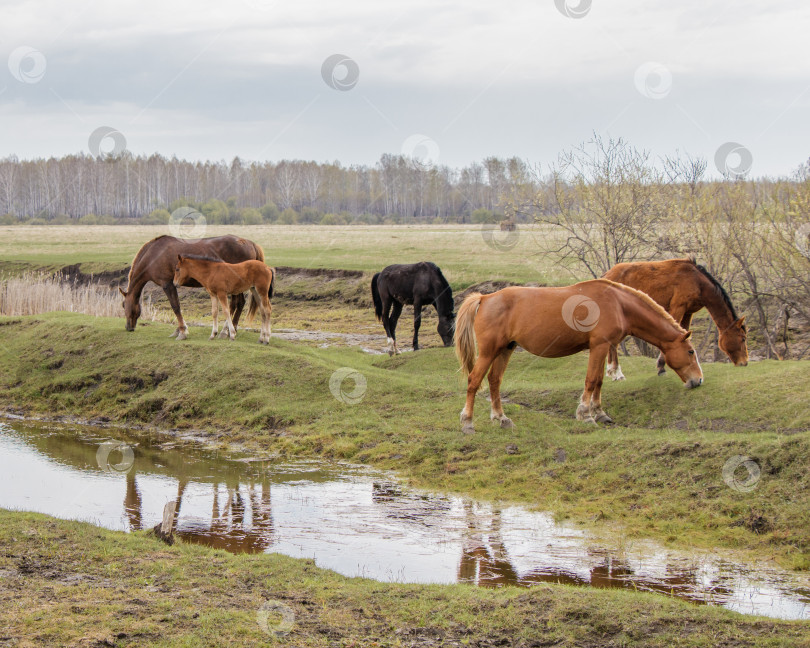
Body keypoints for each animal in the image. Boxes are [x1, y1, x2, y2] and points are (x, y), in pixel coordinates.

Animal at [118, 237, 264, 340]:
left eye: (123, 305)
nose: (128, 327)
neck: (153, 255)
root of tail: (251, 243)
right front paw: (179, 330)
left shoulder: (168, 284)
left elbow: (175, 306)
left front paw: (182, 331)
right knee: (237, 303)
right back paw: (229, 329)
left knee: (237, 303)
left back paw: (226, 331)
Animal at [454, 280, 700, 432]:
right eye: (690, 351)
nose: (698, 380)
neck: (618, 303)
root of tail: (485, 298)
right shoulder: (599, 346)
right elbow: (591, 381)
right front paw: (586, 415)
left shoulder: (602, 348)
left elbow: (599, 381)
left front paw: (599, 412)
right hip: (489, 352)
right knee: (474, 381)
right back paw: (467, 422)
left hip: (506, 349)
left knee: (494, 381)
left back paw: (501, 418)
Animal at [600, 258, 744, 380]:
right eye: (743, 338)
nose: (744, 362)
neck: (697, 280)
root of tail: (606, 275)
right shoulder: (678, 307)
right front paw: (661, 367)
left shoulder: (688, 312)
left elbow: (684, 332)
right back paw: (617, 373)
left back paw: (612, 372)